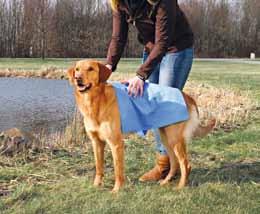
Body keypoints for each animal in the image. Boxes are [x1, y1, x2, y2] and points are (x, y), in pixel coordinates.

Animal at [67, 59, 215, 192]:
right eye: (77, 69)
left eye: (91, 69)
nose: (77, 78)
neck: (96, 101)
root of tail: (186, 96)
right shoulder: (96, 142)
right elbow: (99, 167)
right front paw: (96, 185)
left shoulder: (116, 143)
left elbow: (118, 171)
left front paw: (117, 190)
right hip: (166, 138)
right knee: (174, 162)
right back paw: (165, 182)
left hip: (175, 139)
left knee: (185, 163)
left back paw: (181, 186)